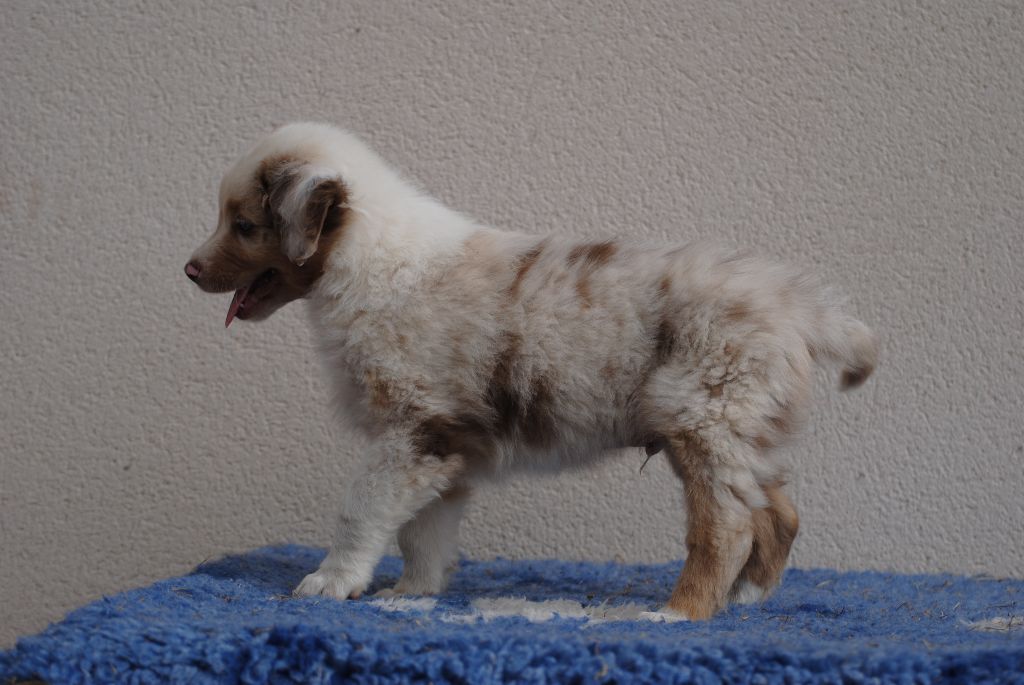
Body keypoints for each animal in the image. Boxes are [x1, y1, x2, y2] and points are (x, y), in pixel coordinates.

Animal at [185, 123, 877, 620]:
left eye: (242, 224)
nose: (188, 270)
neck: (369, 260)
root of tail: (801, 308)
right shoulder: (441, 445)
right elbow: (423, 530)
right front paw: (412, 595)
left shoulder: (412, 430)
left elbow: (361, 511)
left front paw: (330, 581)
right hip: (739, 428)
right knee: (778, 512)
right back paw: (746, 599)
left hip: (704, 416)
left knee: (727, 528)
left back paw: (679, 613)